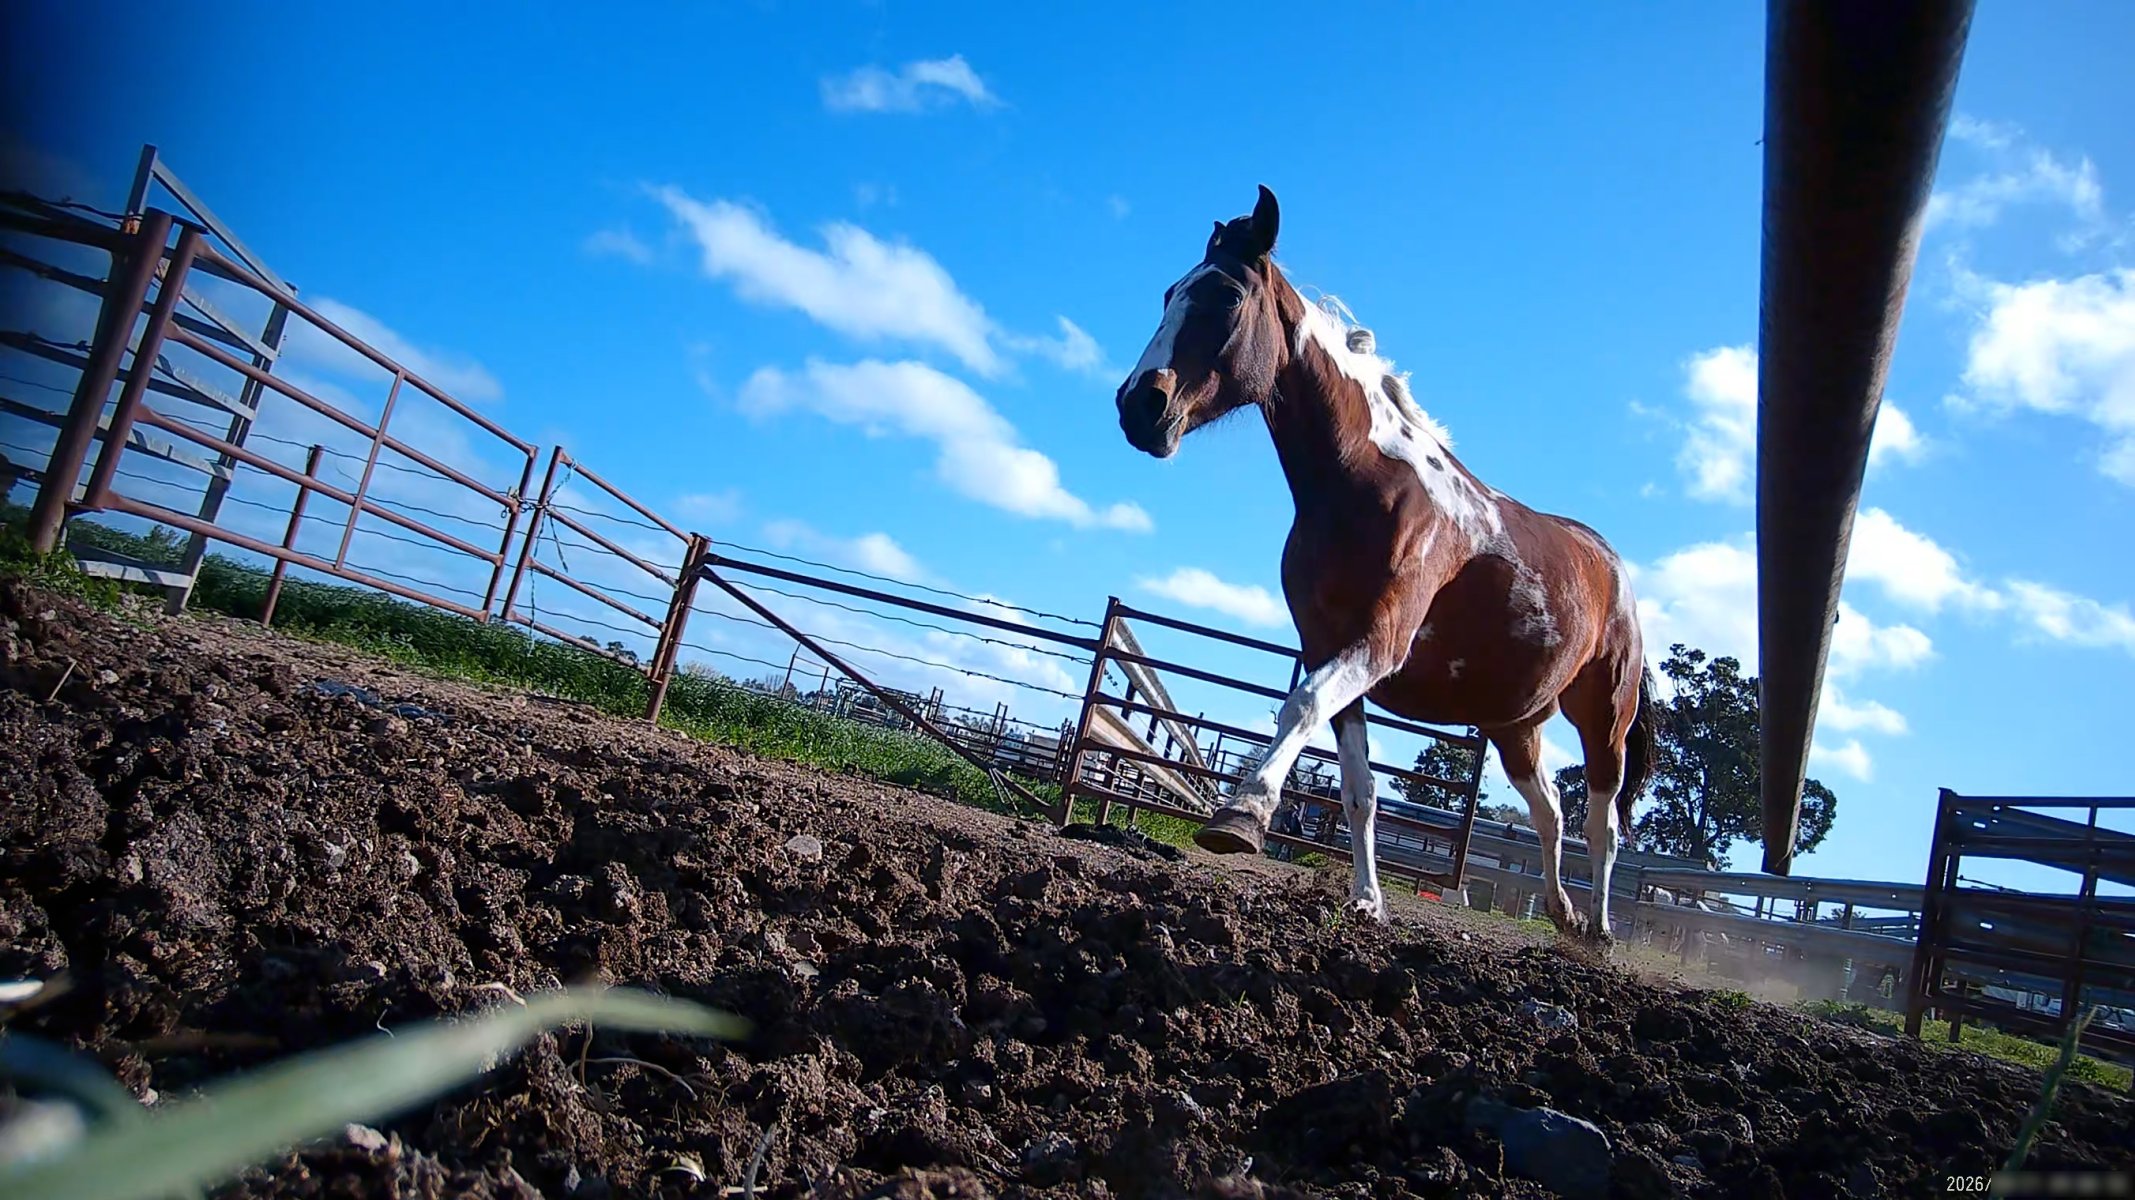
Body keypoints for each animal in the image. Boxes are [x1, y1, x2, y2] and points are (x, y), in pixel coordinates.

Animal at [1112, 185, 1656, 942]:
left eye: (1224, 296)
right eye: (1169, 293)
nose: (1140, 405)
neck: (1363, 483)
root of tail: (1614, 570)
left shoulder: (1377, 642)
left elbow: (1300, 708)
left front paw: (1242, 816)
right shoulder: (1328, 647)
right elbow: (1358, 788)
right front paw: (1366, 901)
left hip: (1604, 714)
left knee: (1602, 821)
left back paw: (1599, 930)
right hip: (1514, 725)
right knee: (1549, 812)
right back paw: (1560, 912)